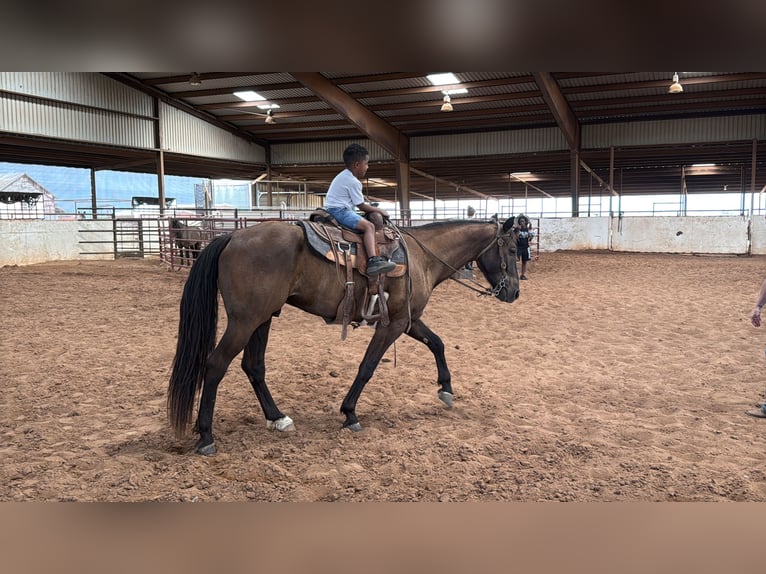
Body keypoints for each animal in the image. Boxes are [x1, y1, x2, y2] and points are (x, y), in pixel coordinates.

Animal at [167, 216, 522, 455]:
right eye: (512, 249)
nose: (515, 293)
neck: (422, 257)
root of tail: (232, 236)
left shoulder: (408, 320)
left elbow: (437, 342)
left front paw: (446, 389)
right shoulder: (392, 325)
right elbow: (367, 367)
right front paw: (350, 413)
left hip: (262, 318)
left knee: (253, 367)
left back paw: (277, 417)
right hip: (244, 321)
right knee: (216, 365)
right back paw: (206, 436)